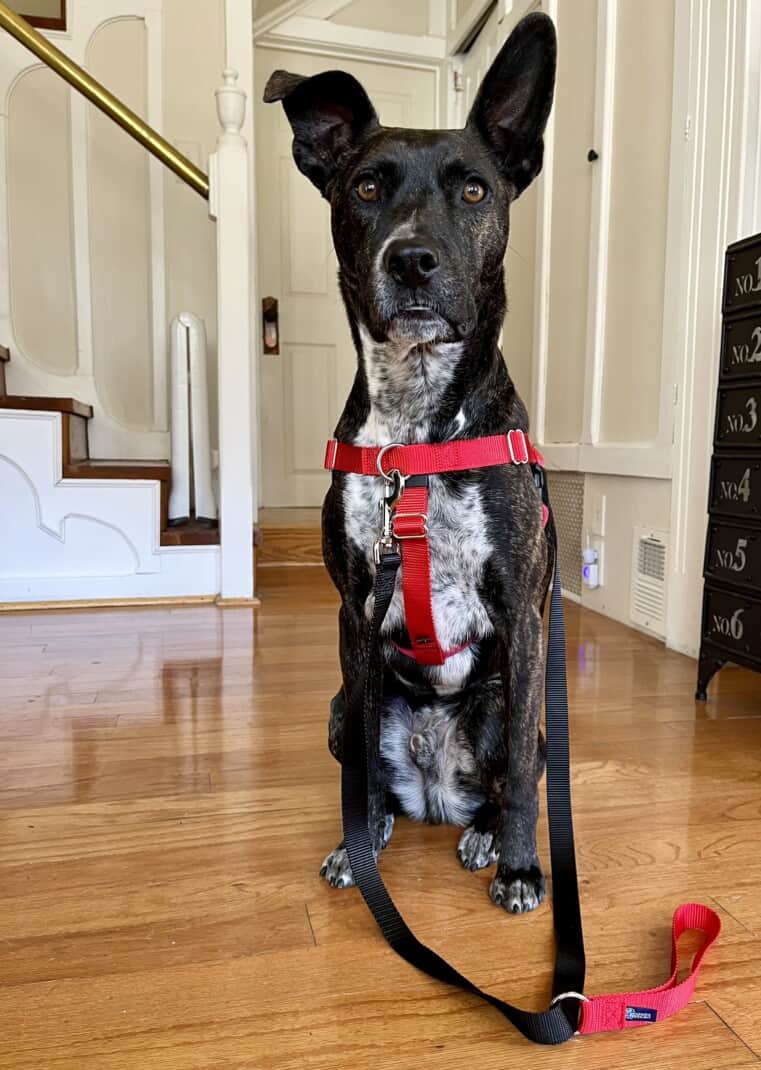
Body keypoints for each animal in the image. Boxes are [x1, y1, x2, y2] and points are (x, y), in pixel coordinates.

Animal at [265, 10, 556, 911]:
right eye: (365, 188)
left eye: (474, 191)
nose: (411, 259)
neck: (419, 430)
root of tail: (435, 790)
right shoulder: (355, 611)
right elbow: (357, 770)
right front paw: (353, 846)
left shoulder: (521, 612)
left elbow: (524, 773)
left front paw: (521, 868)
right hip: (337, 704)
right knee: (371, 770)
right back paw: (380, 831)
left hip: (511, 716)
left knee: (509, 777)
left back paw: (485, 835)